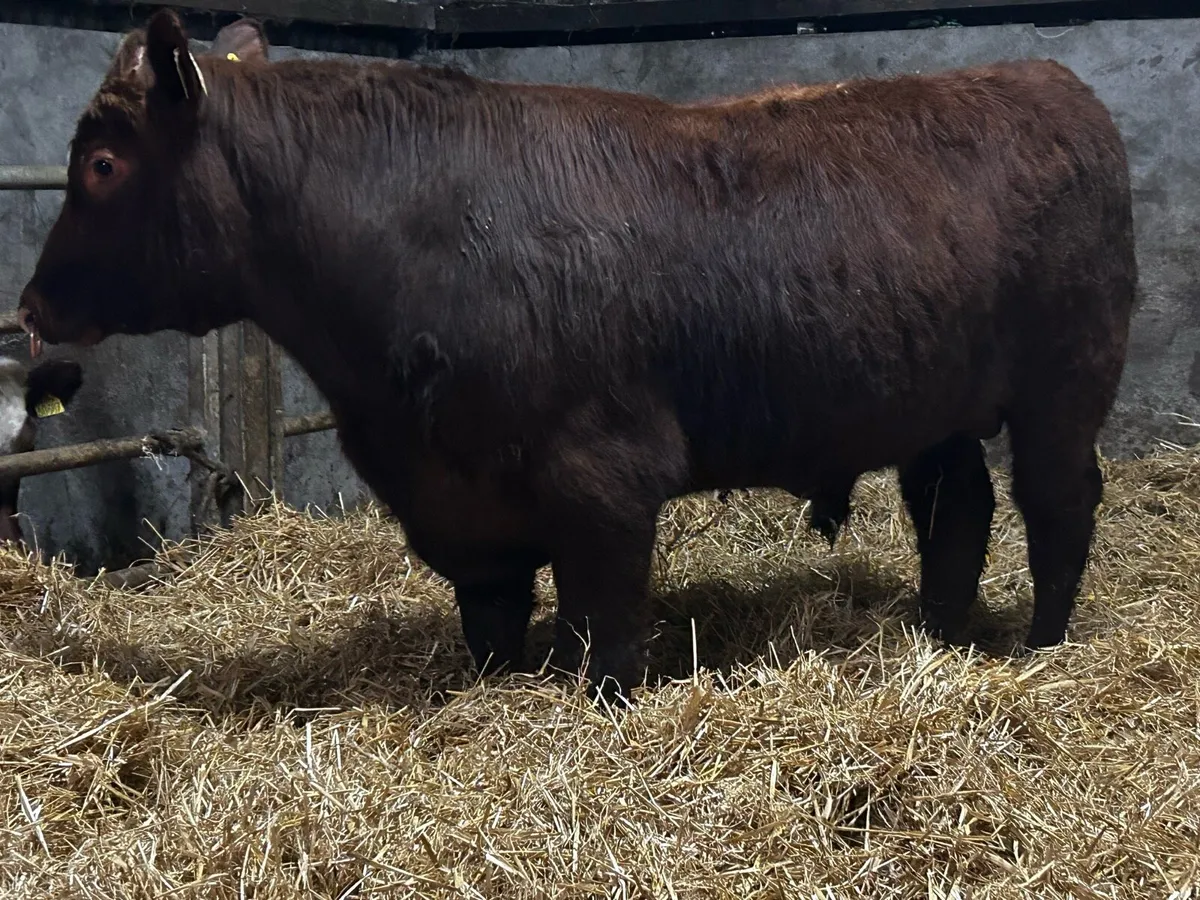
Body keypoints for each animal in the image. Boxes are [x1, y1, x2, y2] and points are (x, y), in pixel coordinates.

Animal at [17, 10, 1137, 704]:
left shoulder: (604, 473)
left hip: (1064, 384)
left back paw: (1041, 644)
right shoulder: (458, 499)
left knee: (1056, 505)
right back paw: (938, 634)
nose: (29, 305)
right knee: (957, 511)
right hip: (935, 403)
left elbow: (607, 622)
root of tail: (1043, 78)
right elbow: (492, 616)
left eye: (104, 163)